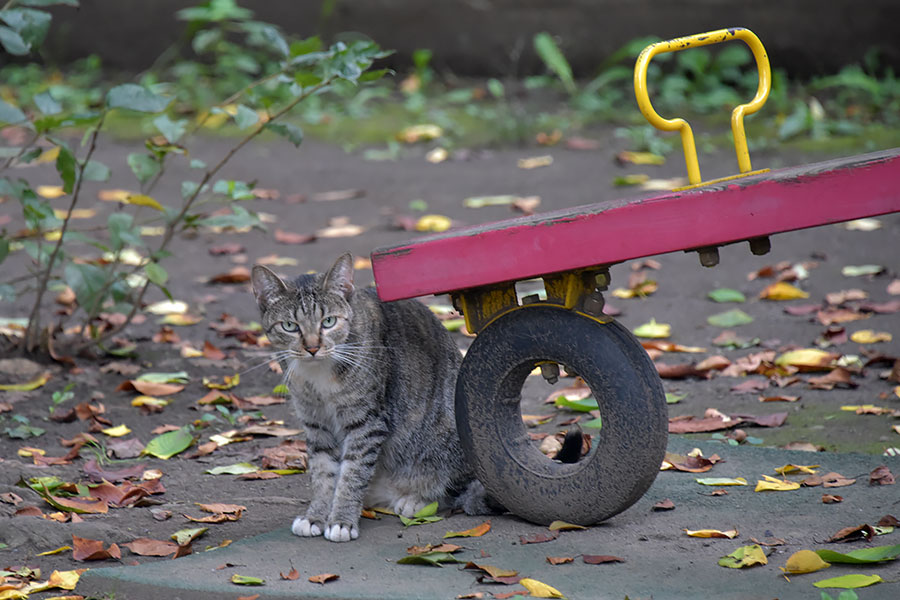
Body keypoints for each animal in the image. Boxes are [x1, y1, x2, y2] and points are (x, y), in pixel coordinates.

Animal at [250, 251, 496, 540]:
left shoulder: (366, 422)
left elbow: (353, 472)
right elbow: (323, 473)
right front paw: (316, 515)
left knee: (457, 491)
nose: (312, 348)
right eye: (289, 326)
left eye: (329, 321)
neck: (318, 375)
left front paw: (341, 520)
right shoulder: (315, 423)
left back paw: (416, 500)